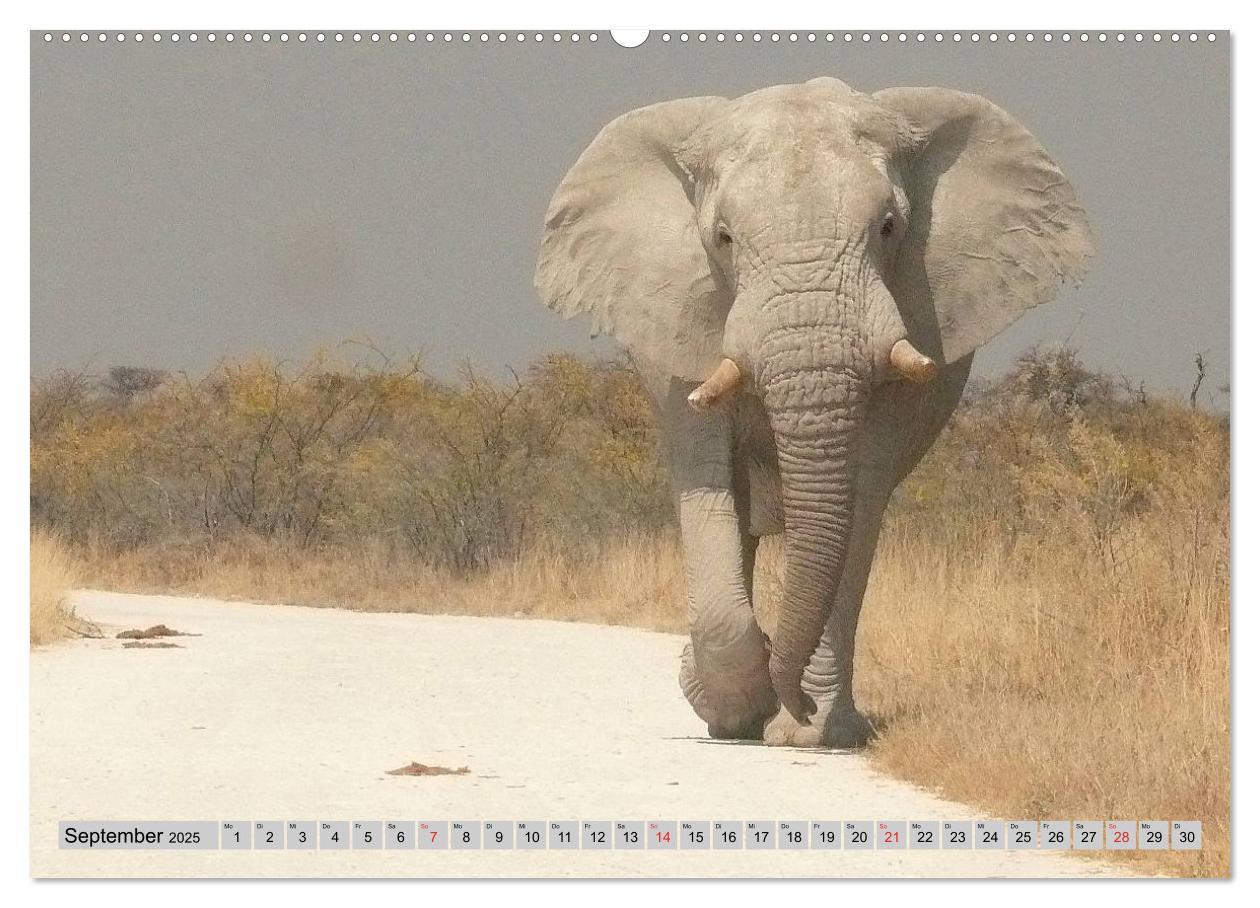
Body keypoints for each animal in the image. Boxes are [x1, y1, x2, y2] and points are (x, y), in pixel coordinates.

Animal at [533, 77, 1092, 747]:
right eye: (722, 238)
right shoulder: (679, 334)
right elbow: (708, 480)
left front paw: (809, 730)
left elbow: (859, 498)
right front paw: (735, 704)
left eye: (888, 228)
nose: (791, 700)